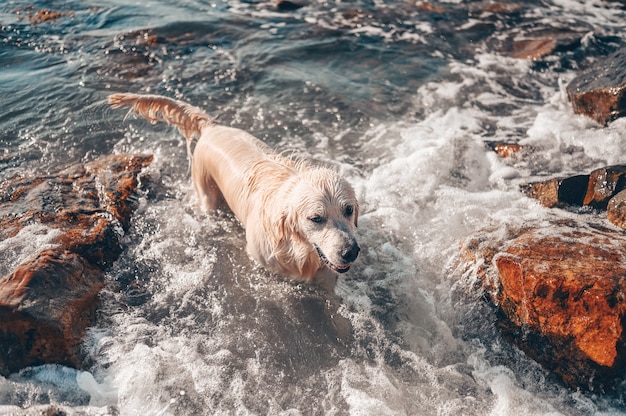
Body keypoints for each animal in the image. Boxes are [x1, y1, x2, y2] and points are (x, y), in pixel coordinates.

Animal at [109, 93, 358, 286]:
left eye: (349, 210)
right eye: (316, 218)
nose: (351, 252)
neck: (297, 246)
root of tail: (211, 128)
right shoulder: (263, 262)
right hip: (206, 193)